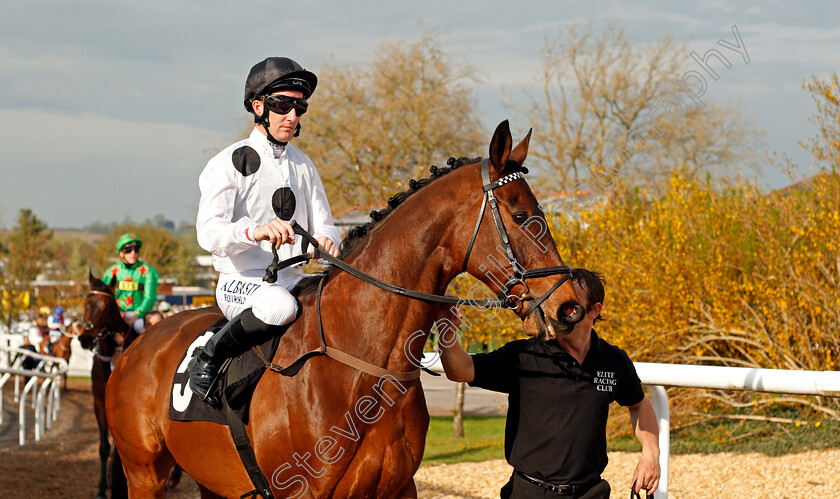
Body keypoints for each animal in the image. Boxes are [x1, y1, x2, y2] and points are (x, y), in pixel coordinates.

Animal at [103, 122, 584, 499]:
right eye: (522, 217)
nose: (569, 306)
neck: (363, 367)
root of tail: (138, 344)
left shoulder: (398, 489)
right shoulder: (301, 492)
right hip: (144, 473)